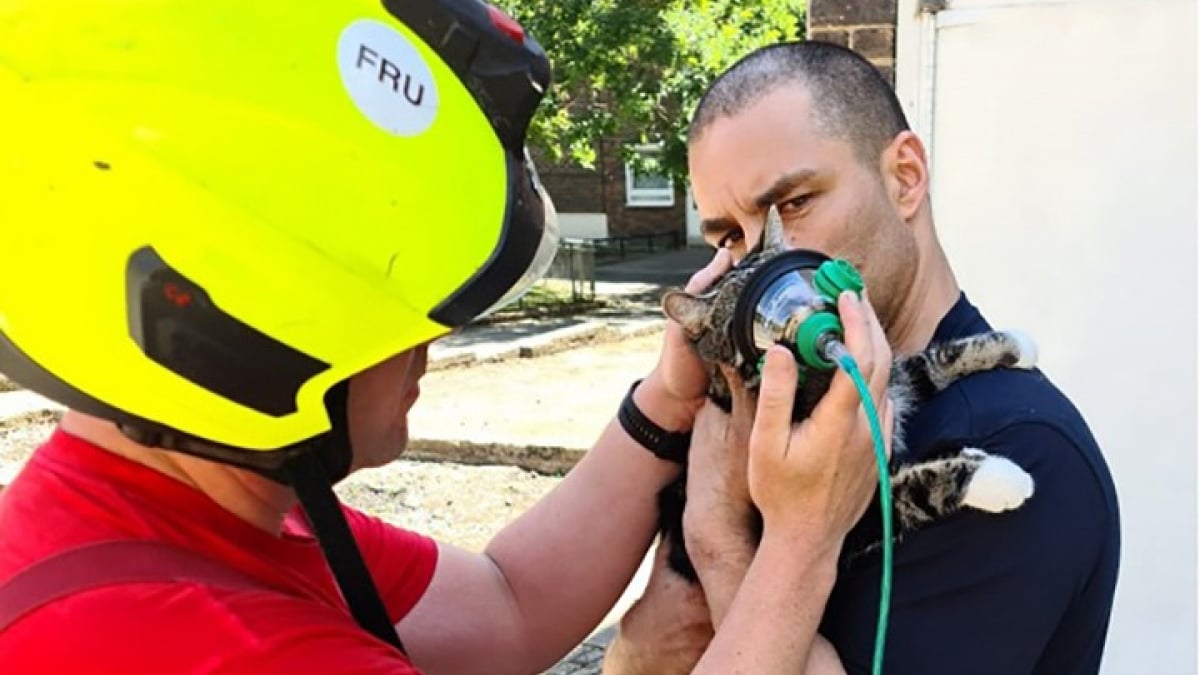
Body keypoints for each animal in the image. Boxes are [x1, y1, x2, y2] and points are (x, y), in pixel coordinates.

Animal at [657, 205, 1032, 578]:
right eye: (748, 321)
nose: (805, 317)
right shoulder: (857, 520)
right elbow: (916, 489)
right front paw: (997, 479)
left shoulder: (897, 380)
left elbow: (936, 360)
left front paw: (1016, 345)